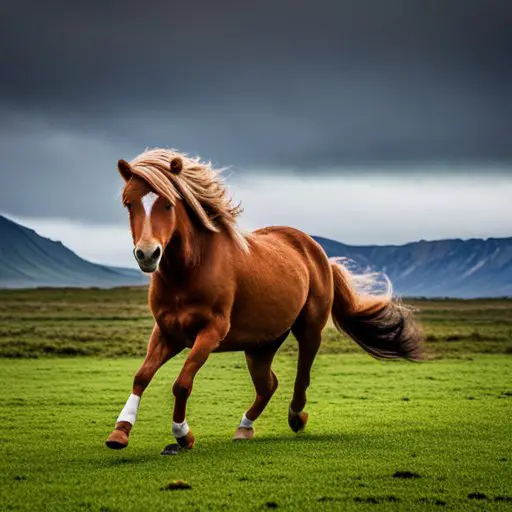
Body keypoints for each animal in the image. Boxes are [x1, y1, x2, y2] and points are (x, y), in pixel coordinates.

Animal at [106, 147, 422, 452]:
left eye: (169, 204)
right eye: (129, 204)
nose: (148, 254)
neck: (189, 271)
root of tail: (317, 252)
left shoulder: (211, 332)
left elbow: (182, 384)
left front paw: (183, 435)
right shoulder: (167, 333)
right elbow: (142, 376)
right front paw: (120, 432)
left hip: (309, 329)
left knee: (301, 374)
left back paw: (296, 417)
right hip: (260, 345)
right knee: (267, 384)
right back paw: (244, 428)